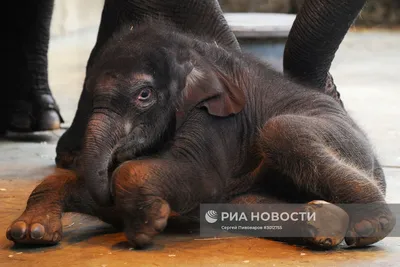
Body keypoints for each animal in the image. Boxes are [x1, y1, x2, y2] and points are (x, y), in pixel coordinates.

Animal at [7, 21, 396, 251]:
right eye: (88, 96)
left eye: (144, 95)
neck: (190, 55)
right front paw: (30, 234)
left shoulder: (219, 121)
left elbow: (198, 175)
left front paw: (146, 225)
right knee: (241, 203)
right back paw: (324, 224)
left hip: (348, 143)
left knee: (281, 130)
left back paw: (368, 227)